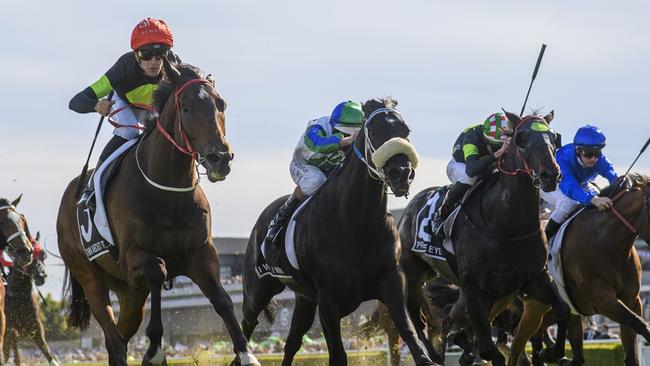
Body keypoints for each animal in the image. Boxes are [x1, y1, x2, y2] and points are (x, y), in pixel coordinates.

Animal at [55, 60, 258, 366]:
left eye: (221, 103)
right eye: (185, 107)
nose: (220, 158)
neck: (168, 192)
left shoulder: (201, 254)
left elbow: (222, 300)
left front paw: (246, 354)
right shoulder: (133, 258)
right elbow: (158, 272)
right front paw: (154, 350)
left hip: (129, 292)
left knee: (120, 338)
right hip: (90, 277)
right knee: (113, 337)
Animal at [233, 98, 436, 366]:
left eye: (405, 131)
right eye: (374, 131)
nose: (402, 173)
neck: (356, 223)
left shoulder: (392, 282)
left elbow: (412, 336)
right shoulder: (328, 301)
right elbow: (338, 355)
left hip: (305, 299)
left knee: (291, 343)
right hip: (257, 291)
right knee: (246, 326)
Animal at [394, 112, 568, 366]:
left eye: (554, 138)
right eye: (522, 139)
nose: (550, 174)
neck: (508, 228)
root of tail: (408, 209)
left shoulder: (534, 279)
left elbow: (562, 309)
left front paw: (552, 352)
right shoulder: (476, 291)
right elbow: (488, 350)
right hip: (413, 276)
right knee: (418, 319)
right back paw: (432, 355)